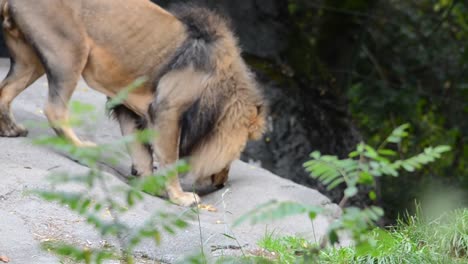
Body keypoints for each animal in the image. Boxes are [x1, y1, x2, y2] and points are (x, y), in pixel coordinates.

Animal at [0, 0, 266, 206]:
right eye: (234, 156)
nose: (223, 182)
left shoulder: (129, 108)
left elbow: (141, 152)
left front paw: (150, 186)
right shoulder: (167, 109)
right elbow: (168, 158)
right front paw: (180, 198)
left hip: (29, 61)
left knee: (5, 91)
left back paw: (11, 130)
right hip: (69, 52)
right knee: (54, 109)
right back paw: (82, 149)